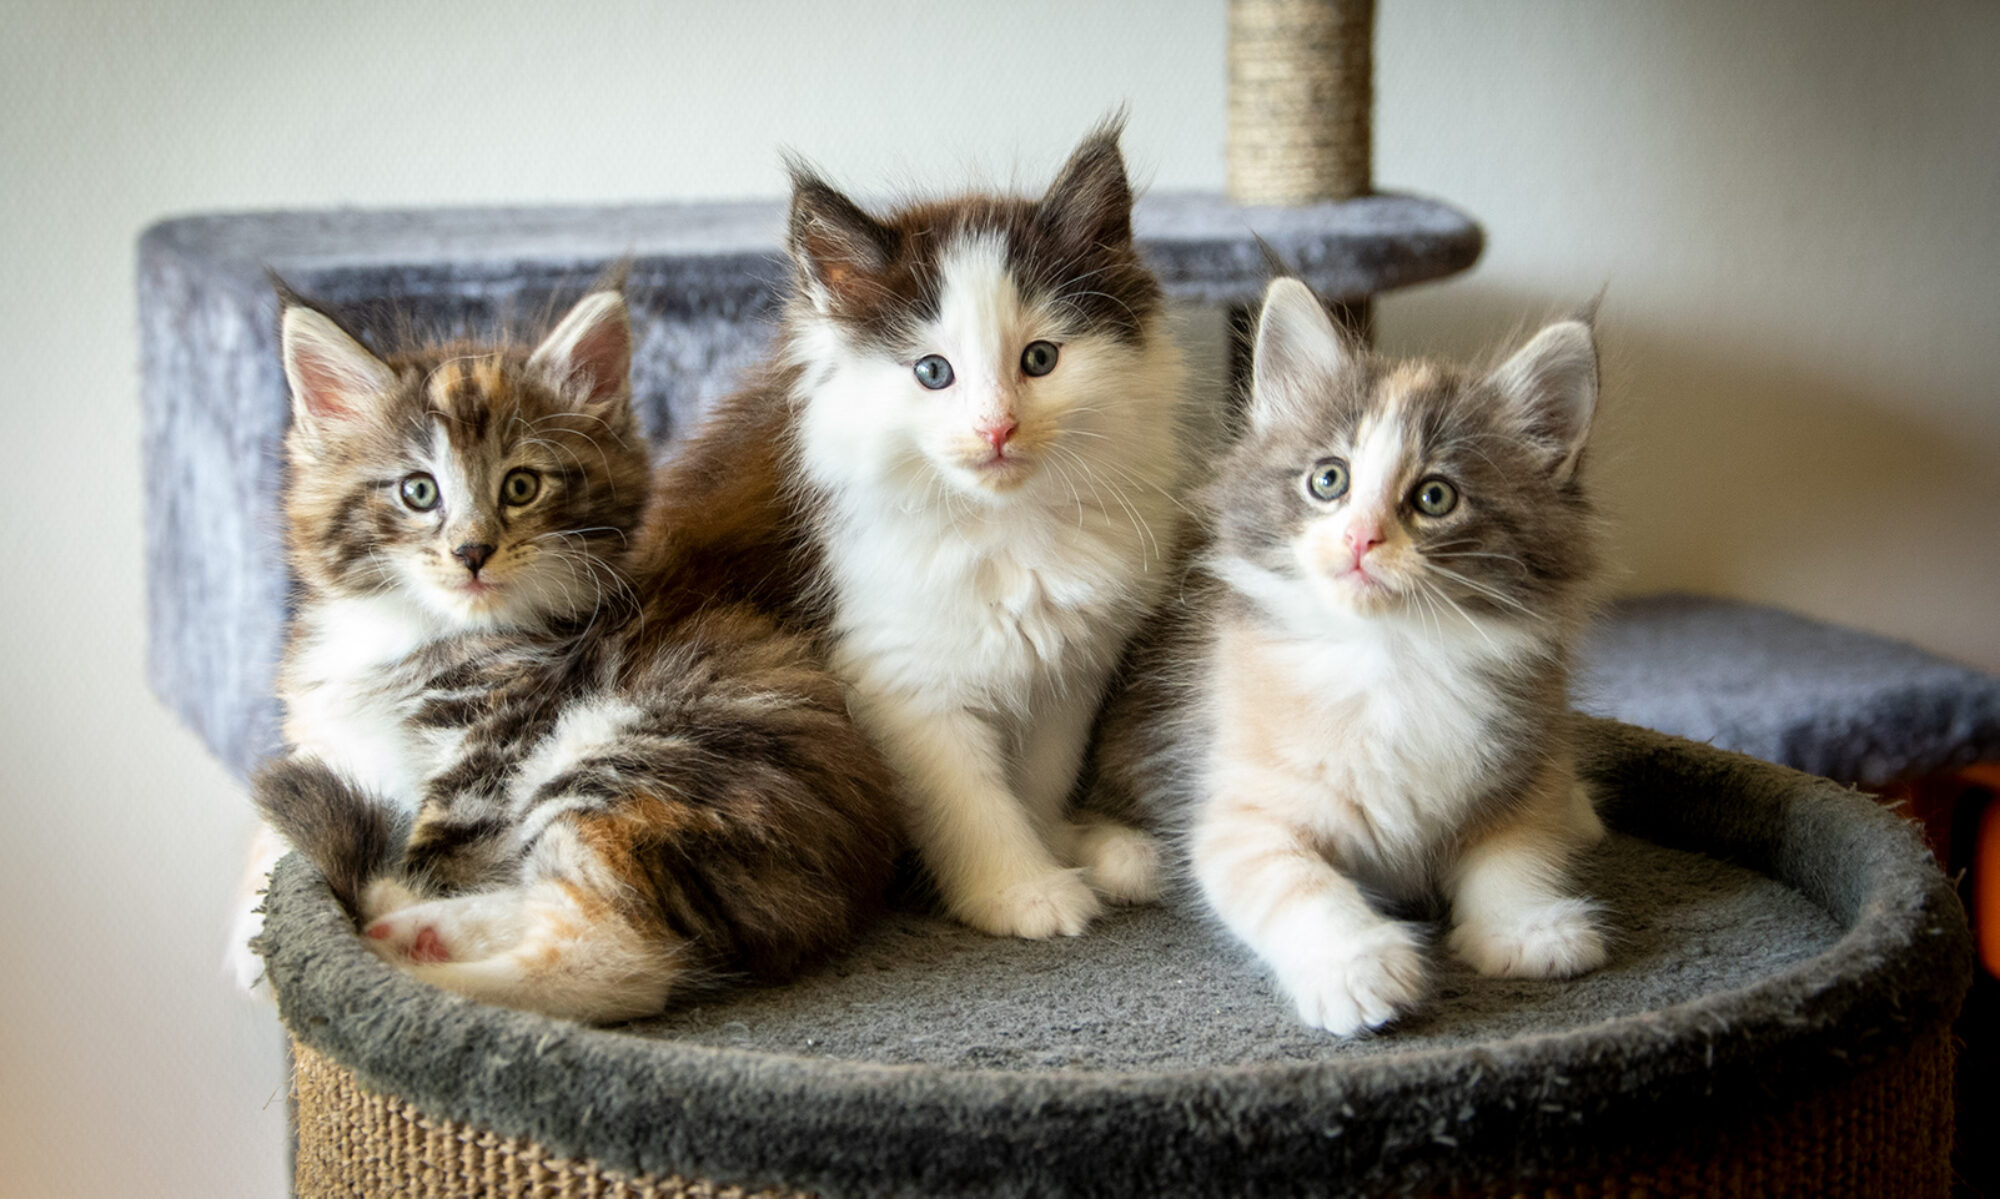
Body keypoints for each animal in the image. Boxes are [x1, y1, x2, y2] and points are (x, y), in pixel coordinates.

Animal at [248, 283, 900, 1019]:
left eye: (520, 486)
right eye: (418, 491)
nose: (472, 551)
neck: (412, 632)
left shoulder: (489, 751)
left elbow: (436, 854)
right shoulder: (340, 742)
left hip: (628, 761)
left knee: (619, 950)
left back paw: (417, 963)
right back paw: (417, 933)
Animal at [776, 121, 1192, 943]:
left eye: (1040, 359)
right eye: (933, 372)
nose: (997, 428)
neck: (1009, 529)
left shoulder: (1070, 666)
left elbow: (1037, 777)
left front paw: (1062, 841)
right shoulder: (899, 678)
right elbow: (968, 798)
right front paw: (1023, 890)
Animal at [1088, 277, 1616, 1031]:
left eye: (1435, 496)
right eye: (1329, 480)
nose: (1361, 538)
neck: (1393, 655)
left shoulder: (1526, 757)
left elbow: (1519, 849)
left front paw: (1528, 927)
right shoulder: (1242, 810)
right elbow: (1295, 881)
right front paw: (1356, 963)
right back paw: (1128, 854)